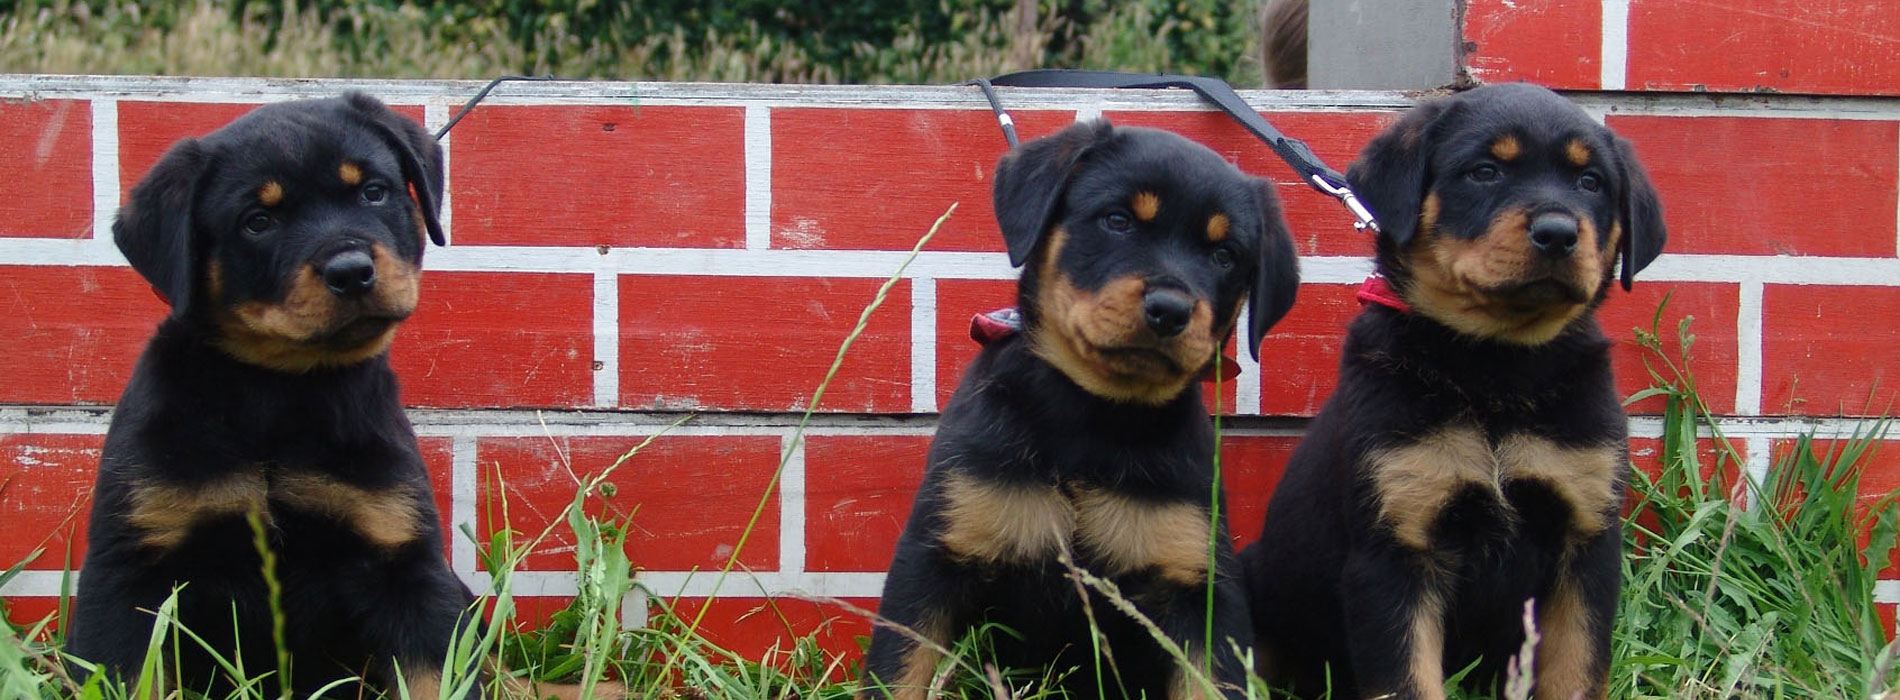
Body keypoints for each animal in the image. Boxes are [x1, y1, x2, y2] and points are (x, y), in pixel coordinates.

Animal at [66, 94, 475, 700]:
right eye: (258, 222)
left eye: (373, 192)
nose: (352, 271)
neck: (281, 389)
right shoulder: (129, 571)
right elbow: (126, 673)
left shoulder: (402, 557)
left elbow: (435, 676)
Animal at [866, 121, 1299, 700]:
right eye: (1117, 220)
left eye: (1225, 255)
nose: (1170, 310)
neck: (1092, 416)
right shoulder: (933, 555)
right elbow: (899, 670)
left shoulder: (1199, 585)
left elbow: (1211, 682)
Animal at [1231, 83, 1664, 700]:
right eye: (1484, 171)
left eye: (1591, 182)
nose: (1559, 233)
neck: (1495, 370)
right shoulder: (1396, 550)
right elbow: (1408, 678)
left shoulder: (1586, 541)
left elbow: (1576, 668)